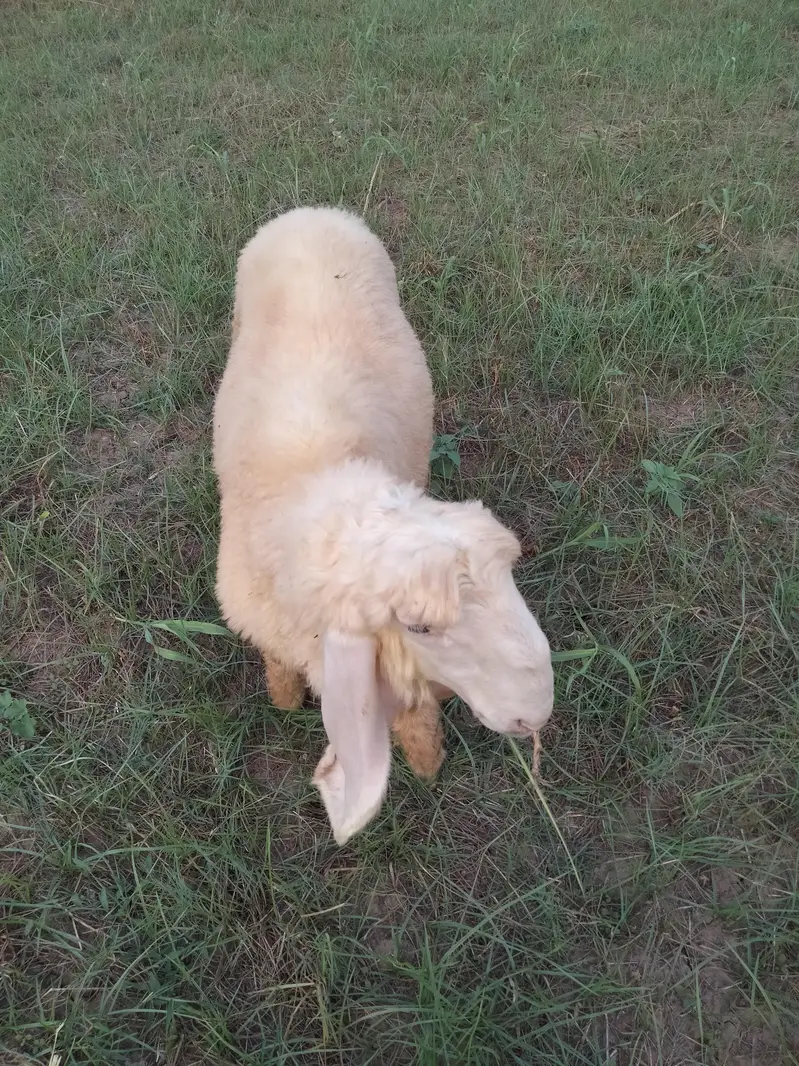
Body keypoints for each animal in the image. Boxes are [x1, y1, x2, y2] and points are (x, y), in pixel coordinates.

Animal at [213, 206, 554, 845]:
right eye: (419, 627)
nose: (536, 712)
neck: (322, 487)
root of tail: (312, 210)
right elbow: (281, 669)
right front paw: (284, 699)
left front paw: (426, 763)